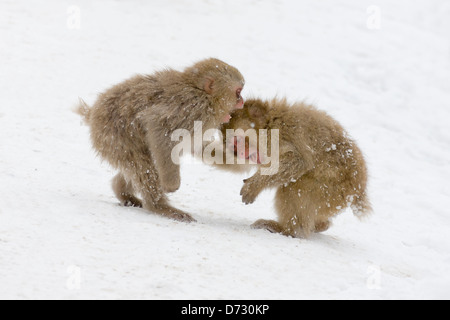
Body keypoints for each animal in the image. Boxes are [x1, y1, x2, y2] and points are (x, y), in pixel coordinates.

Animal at [77, 58, 246, 222]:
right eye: (238, 92)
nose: (243, 101)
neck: (205, 96)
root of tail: (93, 114)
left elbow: (199, 147)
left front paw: (242, 159)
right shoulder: (193, 108)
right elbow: (159, 128)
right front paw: (171, 185)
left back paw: (122, 191)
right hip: (112, 137)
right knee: (143, 164)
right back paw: (158, 206)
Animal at [221, 97, 372, 238]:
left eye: (238, 141)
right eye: (233, 148)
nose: (241, 154)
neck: (269, 124)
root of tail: (358, 191)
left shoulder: (280, 137)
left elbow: (298, 160)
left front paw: (254, 185)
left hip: (329, 190)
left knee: (294, 188)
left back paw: (287, 230)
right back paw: (321, 225)